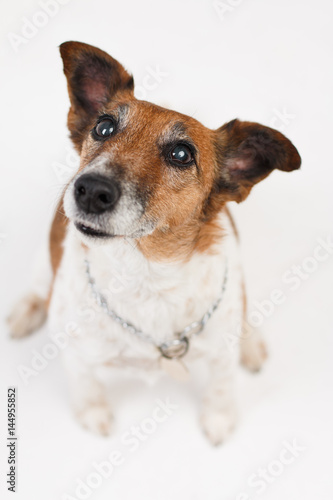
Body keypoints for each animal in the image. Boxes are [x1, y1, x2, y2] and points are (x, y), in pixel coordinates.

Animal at [7, 41, 300, 444]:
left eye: (181, 154)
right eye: (103, 127)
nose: (91, 190)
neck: (145, 275)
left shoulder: (220, 351)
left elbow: (222, 384)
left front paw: (219, 417)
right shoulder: (76, 354)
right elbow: (86, 386)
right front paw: (93, 414)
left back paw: (250, 342)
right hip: (42, 263)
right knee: (38, 288)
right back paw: (27, 311)